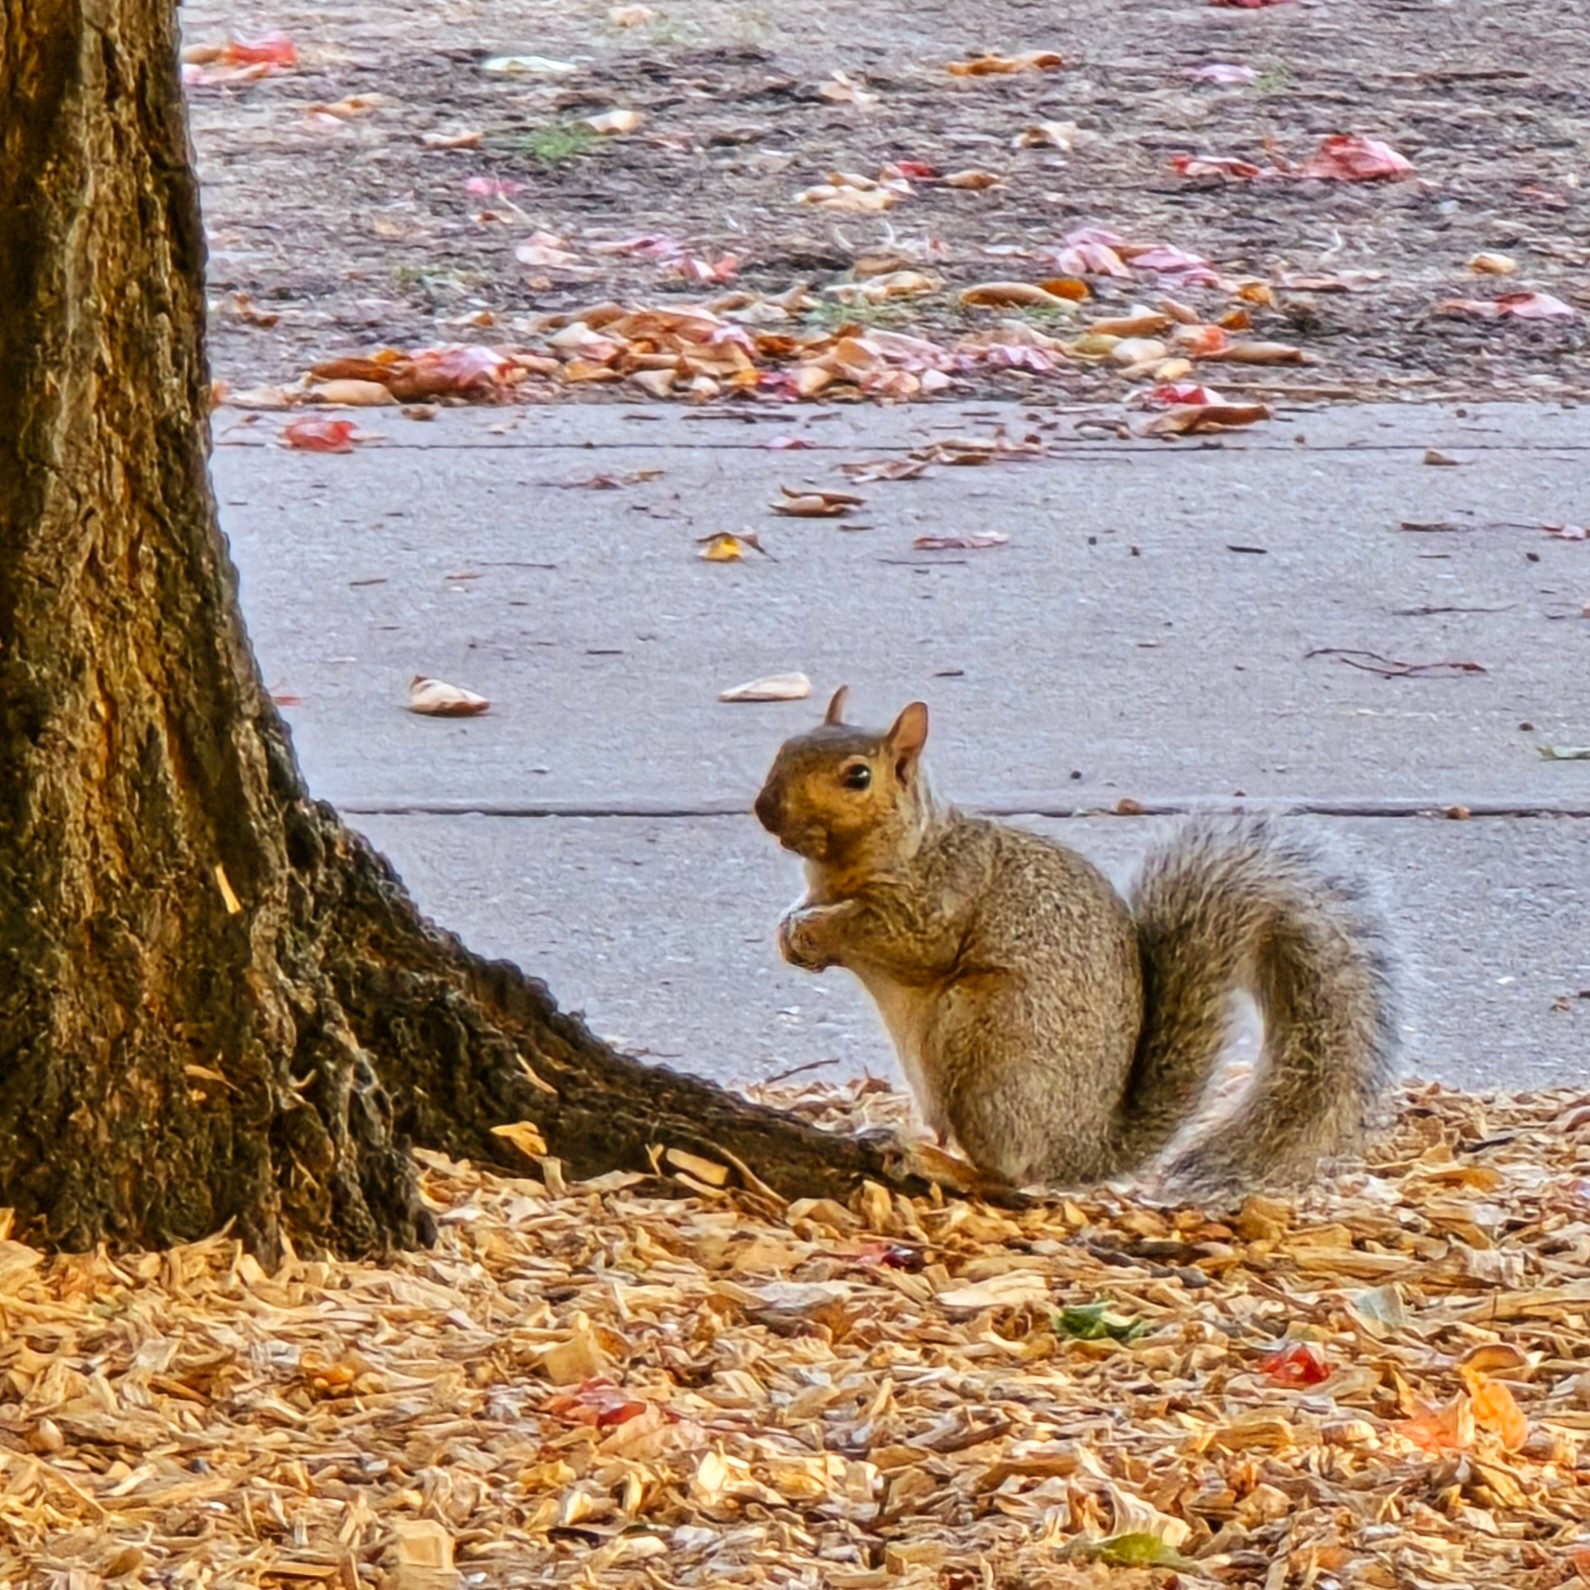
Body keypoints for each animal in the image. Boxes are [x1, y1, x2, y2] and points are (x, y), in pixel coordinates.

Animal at [750, 683, 1399, 1195]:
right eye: (784, 747)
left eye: (857, 777)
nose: (763, 810)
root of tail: (1084, 1147)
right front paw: (790, 928)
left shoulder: (940, 901)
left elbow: (899, 939)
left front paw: (816, 930)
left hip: (989, 1048)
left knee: (1007, 1176)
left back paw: (932, 1161)